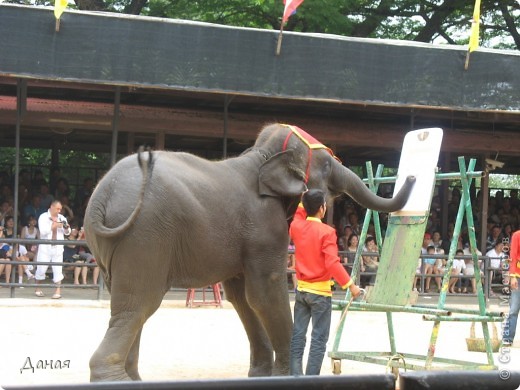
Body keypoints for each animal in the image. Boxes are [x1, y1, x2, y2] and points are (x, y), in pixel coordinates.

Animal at [86, 122, 418, 380]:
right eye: (325, 164)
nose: (413, 177)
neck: (261, 157)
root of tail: (102, 197)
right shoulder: (265, 227)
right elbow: (264, 291)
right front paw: (286, 375)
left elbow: (241, 296)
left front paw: (261, 374)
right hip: (145, 237)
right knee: (139, 304)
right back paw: (114, 379)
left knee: (126, 304)